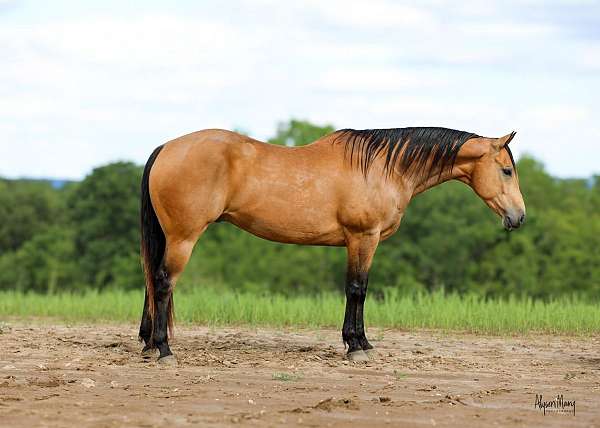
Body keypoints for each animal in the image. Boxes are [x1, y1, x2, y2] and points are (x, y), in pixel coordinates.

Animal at [137, 127, 524, 364]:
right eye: (506, 170)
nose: (519, 217)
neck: (382, 167)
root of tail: (166, 147)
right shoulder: (362, 238)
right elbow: (357, 289)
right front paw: (356, 347)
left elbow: (357, 290)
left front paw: (362, 343)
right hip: (183, 238)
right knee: (163, 283)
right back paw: (164, 349)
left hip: (170, 238)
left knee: (151, 282)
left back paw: (148, 344)